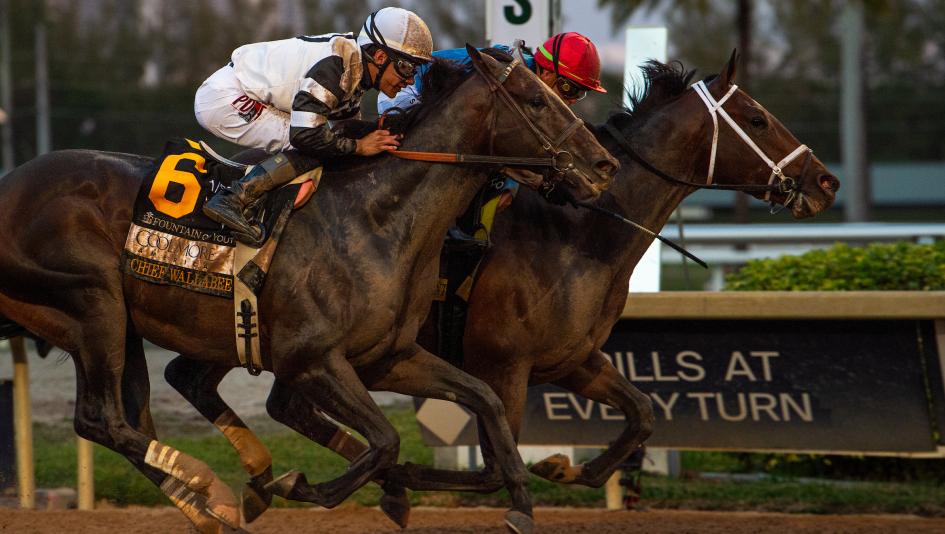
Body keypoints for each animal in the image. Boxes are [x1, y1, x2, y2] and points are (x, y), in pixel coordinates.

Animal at [0, 47, 618, 534]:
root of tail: (12, 182)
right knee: (100, 419)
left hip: (114, 325)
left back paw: (210, 505)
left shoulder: (390, 356)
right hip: (95, 303)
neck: (379, 217)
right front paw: (302, 487)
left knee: (129, 421)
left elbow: (483, 397)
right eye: (535, 101)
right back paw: (213, 486)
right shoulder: (313, 359)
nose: (603, 164)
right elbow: (385, 440)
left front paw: (521, 504)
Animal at [174, 51, 840, 518]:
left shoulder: (573, 361)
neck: (578, 233)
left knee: (231, 389)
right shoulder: (505, 364)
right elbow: (494, 464)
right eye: (756, 118)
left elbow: (643, 414)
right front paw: (416, 481)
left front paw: (567, 471)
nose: (826, 182)